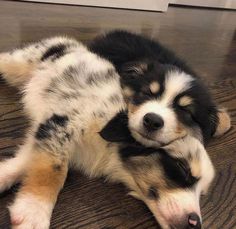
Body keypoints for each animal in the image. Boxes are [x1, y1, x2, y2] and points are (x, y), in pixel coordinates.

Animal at [0, 37, 221, 229]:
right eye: (182, 168)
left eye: (202, 194)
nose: (195, 222)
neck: (107, 149)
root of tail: (68, 42)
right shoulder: (62, 124)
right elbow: (53, 170)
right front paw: (34, 211)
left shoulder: (44, 134)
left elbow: (25, 162)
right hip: (19, 62)